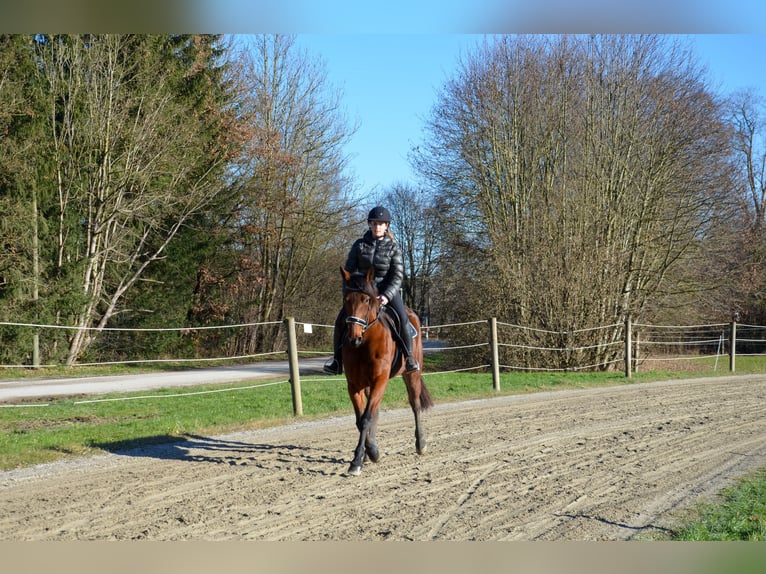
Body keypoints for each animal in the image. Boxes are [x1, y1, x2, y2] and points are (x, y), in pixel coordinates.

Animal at [340, 266, 436, 476]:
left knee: (415, 405)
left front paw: (360, 459)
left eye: (366, 299)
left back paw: (421, 443)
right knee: (375, 412)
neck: (365, 344)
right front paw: (367, 453)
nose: (353, 338)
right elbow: (361, 420)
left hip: (411, 374)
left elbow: (366, 419)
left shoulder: (380, 381)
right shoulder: (355, 386)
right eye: (346, 299)